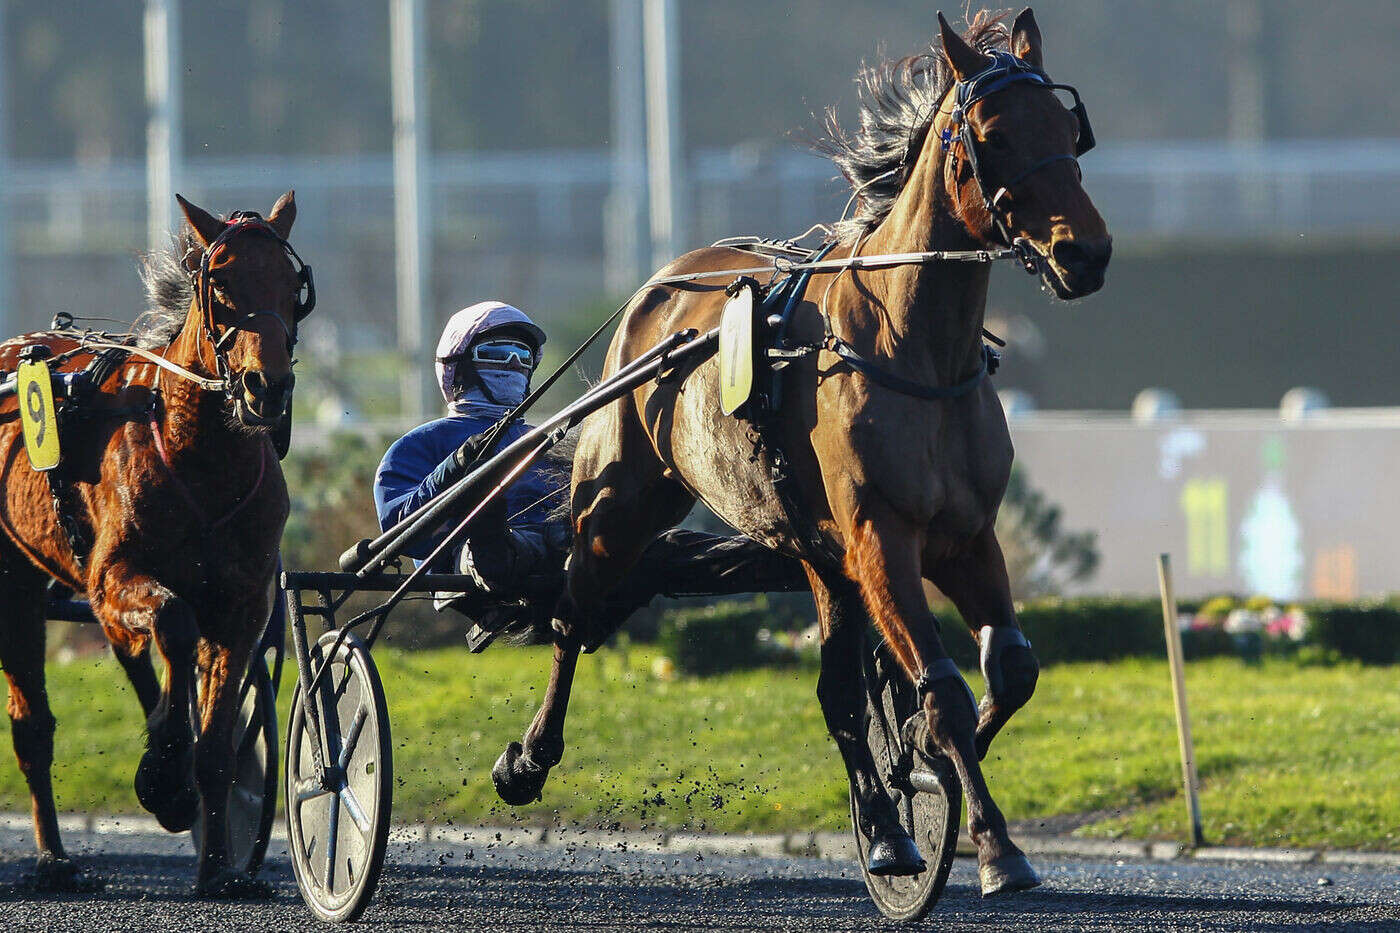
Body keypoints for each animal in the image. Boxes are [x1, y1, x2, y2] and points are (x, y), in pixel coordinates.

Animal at [0, 190, 309, 896]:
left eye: (292, 286)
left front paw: (220, 868)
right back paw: (53, 858)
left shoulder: (242, 601)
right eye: (218, 281)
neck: (204, 460)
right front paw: (164, 776)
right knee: (33, 725)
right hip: (10, 582)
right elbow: (172, 620)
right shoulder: (114, 576)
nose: (268, 387)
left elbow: (217, 743)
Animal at [498, 7, 1108, 896]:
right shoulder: (881, 537)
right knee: (574, 611)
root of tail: (662, 284)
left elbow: (1009, 672)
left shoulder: (965, 537)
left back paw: (886, 832)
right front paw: (995, 841)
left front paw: (918, 762)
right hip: (620, 504)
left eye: (1069, 128)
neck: (913, 350)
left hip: (817, 553)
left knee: (836, 692)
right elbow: (944, 689)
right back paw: (530, 756)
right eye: (993, 133)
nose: (1084, 253)